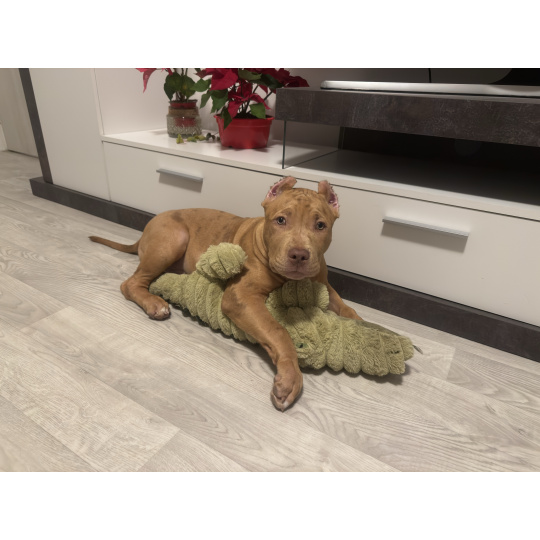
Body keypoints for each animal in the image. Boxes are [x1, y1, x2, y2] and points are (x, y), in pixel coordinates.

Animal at [90, 176, 361, 410]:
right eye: (281, 220)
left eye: (320, 225)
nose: (299, 255)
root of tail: (149, 224)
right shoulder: (240, 297)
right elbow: (278, 331)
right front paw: (290, 378)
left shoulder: (324, 286)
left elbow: (347, 308)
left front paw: (360, 328)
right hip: (173, 239)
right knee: (131, 283)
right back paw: (154, 304)